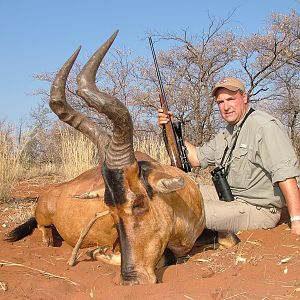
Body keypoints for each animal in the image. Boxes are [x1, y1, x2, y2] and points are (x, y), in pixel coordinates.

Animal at [5, 31, 239, 286]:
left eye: (138, 202)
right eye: (109, 209)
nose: (131, 279)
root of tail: (53, 190)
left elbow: (231, 238)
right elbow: (165, 256)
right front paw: (96, 252)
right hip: (43, 215)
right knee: (41, 225)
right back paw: (49, 240)